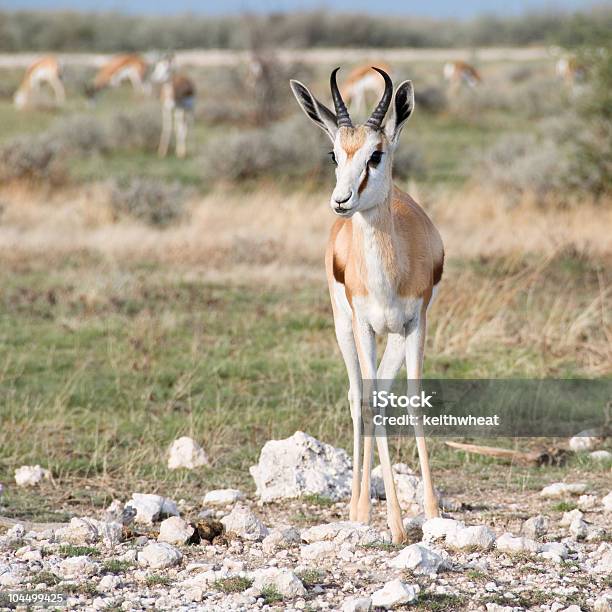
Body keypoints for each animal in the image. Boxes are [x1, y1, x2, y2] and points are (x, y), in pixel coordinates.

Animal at [290, 68, 442, 544]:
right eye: (334, 154)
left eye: (376, 154)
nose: (341, 200)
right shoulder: (365, 327)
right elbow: (369, 403)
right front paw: (393, 524)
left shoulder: (416, 324)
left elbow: (411, 401)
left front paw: (431, 512)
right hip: (346, 329)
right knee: (360, 395)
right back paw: (358, 510)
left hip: (392, 337)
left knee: (383, 395)